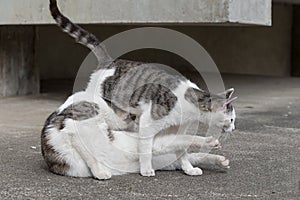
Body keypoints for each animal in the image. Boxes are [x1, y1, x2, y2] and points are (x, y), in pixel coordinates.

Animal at [44, 0, 237, 178]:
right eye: (232, 119)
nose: (234, 128)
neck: (189, 104)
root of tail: (110, 61)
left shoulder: (177, 130)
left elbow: (181, 150)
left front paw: (188, 168)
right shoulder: (148, 124)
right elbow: (146, 149)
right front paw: (146, 169)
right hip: (105, 105)